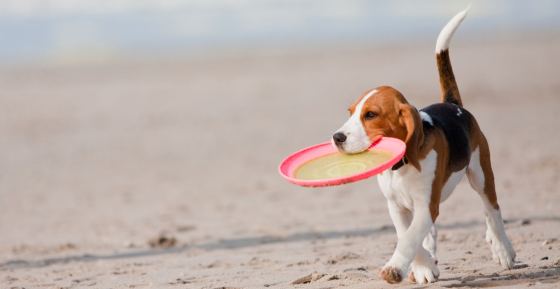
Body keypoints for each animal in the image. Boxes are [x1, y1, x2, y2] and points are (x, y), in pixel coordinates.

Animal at [332, 7, 516, 284]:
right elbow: (406, 234)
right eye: (351, 112)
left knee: (492, 209)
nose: (337, 137)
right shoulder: (396, 206)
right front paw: (424, 266)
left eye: (371, 115)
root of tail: (453, 104)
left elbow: (409, 237)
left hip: (481, 173)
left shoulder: (428, 204)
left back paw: (503, 249)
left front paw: (395, 268)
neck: (401, 166)